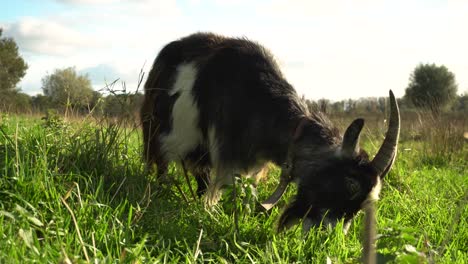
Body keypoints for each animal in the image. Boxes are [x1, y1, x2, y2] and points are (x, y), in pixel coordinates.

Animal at [139, 32, 398, 232]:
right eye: (350, 184)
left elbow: (247, 194)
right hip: (154, 133)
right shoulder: (228, 157)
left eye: (366, 203)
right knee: (162, 165)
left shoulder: (252, 166)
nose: (327, 236)